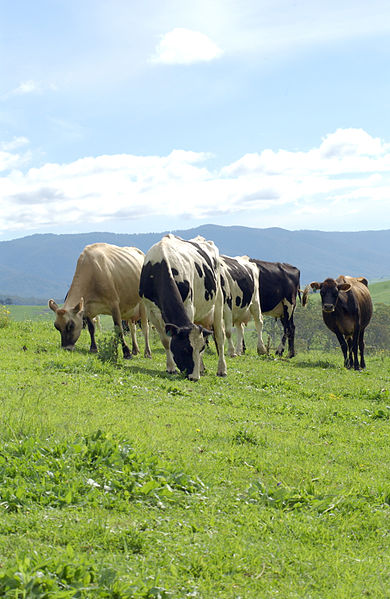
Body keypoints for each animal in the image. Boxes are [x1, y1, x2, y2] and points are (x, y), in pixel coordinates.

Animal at [139, 234, 225, 380]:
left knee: (220, 337)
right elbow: (166, 340)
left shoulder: (189, 306)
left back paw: (221, 370)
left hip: (218, 302)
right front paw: (171, 368)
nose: (194, 377)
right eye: (185, 349)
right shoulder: (150, 310)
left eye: (201, 348)